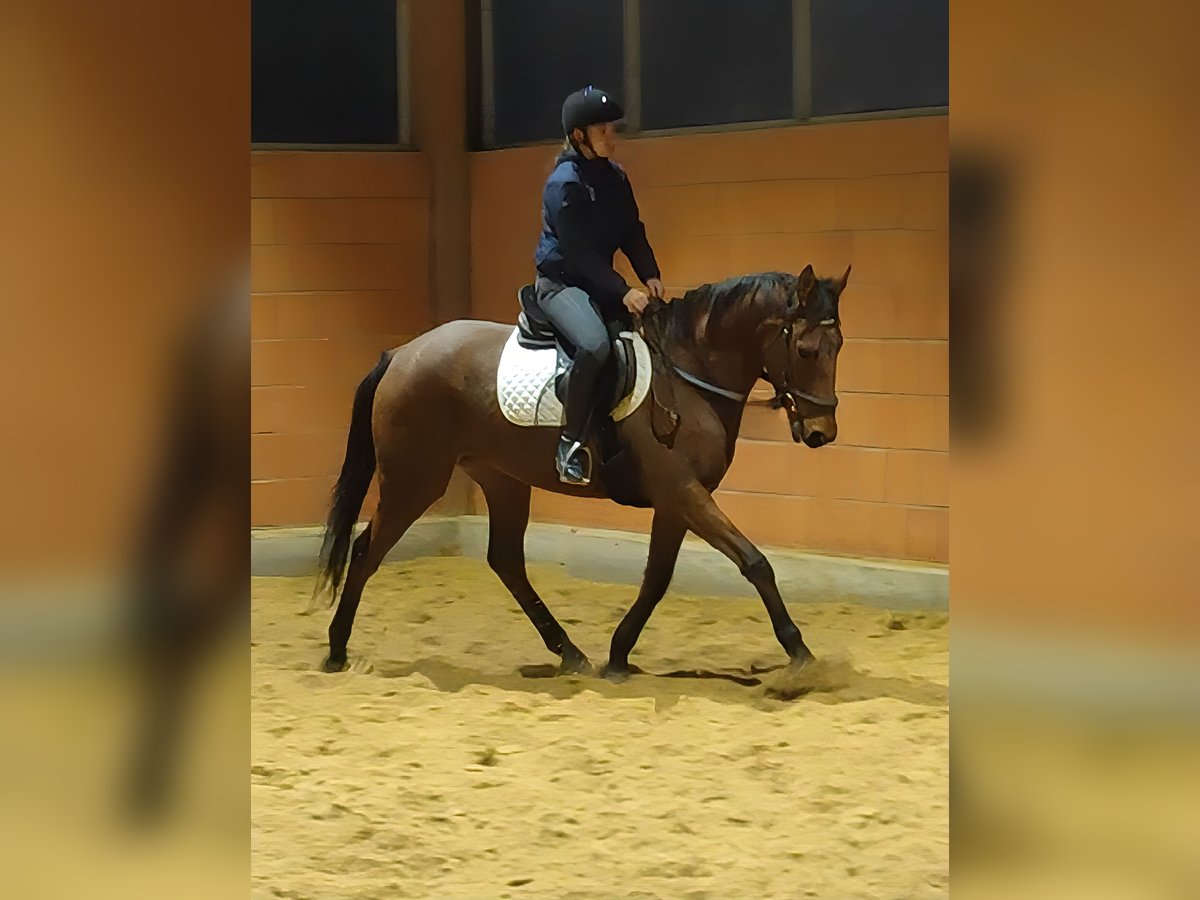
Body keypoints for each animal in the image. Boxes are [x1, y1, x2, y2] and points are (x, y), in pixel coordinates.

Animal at [315, 263, 851, 680]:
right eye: (806, 350)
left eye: (840, 346)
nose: (821, 431)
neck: (687, 374)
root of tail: (400, 355)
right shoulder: (683, 492)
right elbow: (754, 562)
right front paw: (800, 653)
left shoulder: (677, 501)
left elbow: (658, 578)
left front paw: (618, 653)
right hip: (415, 480)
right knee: (366, 550)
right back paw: (337, 649)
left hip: (502, 479)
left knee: (506, 561)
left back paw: (570, 653)